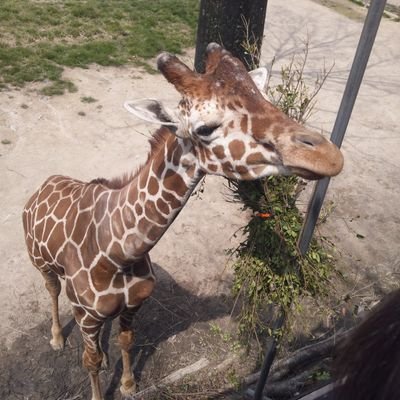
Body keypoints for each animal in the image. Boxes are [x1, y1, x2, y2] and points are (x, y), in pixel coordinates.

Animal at [21, 42, 342, 398]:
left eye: (265, 98)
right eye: (205, 128)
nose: (327, 156)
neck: (118, 254)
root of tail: (42, 187)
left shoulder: (133, 307)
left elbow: (126, 340)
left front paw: (129, 384)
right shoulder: (86, 315)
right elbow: (89, 361)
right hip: (41, 264)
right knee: (52, 290)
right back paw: (56, 338)